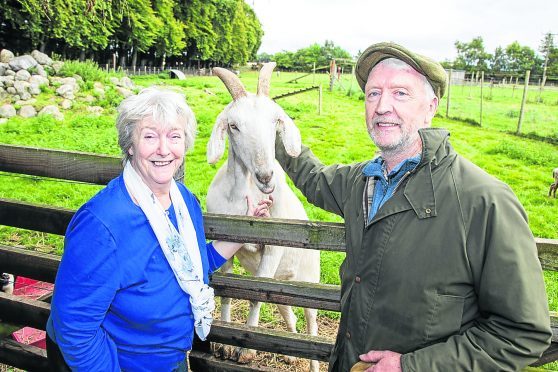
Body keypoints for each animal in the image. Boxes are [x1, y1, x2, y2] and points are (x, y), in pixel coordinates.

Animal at [206, 62, 320, 370]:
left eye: (275, 121)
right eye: (234, 126)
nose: (265, 176)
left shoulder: (273, 249)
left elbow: (256, 296)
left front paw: (245, 350)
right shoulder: (224, 246)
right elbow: (226, 292)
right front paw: (223, 344)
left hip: (311, 281)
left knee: (311, 325)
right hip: (282, 287)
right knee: (288, 314)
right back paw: (291, 353)